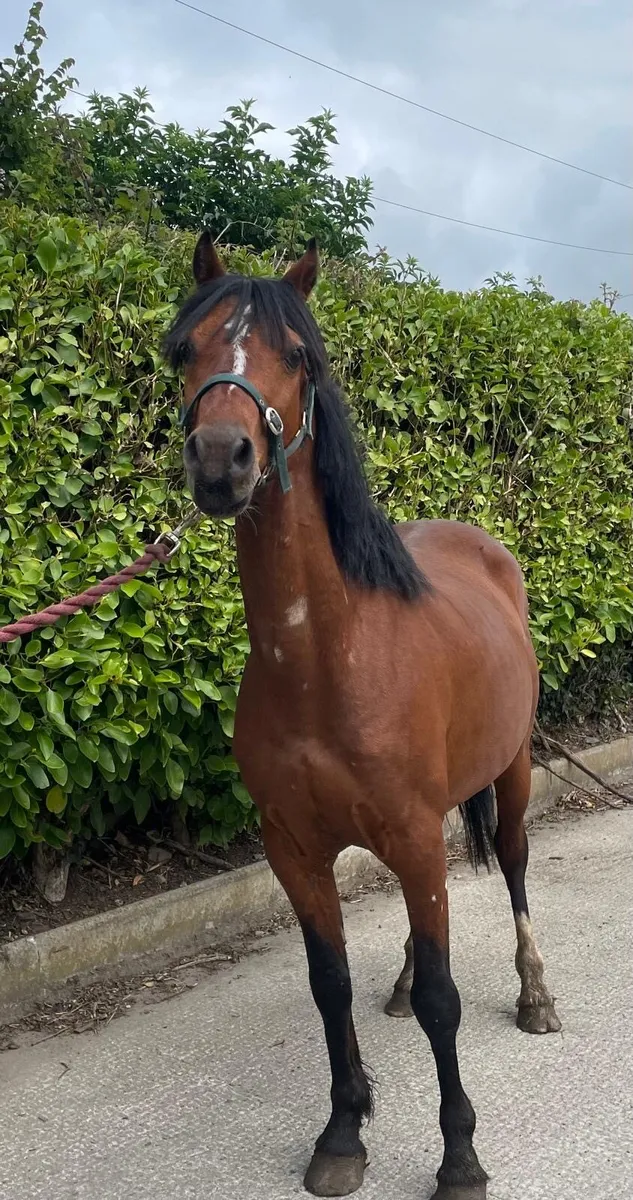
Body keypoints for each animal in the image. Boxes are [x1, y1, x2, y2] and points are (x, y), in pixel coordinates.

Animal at [163, 232, 562, 1200]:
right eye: (184, 349)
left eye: (298, 357)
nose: (221, 458)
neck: (325, 665)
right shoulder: (296, 851)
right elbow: (329, 985)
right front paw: (342, 1133)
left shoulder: (412, 834)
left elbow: (445, 1005)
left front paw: (459, 1156)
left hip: (510, 773)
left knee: (515, 868)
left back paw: (535, 994)